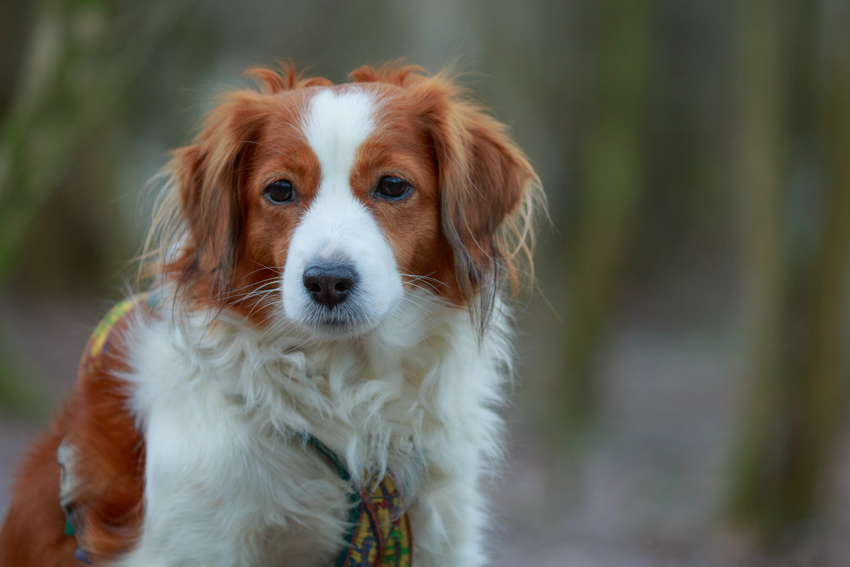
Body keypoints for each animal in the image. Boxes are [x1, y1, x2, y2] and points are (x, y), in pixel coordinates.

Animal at [0, 63, 544, 567]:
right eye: (280, 190)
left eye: (393, 185)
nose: (327, 281)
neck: (343, 384)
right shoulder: (196, 541)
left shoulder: (441, 533)